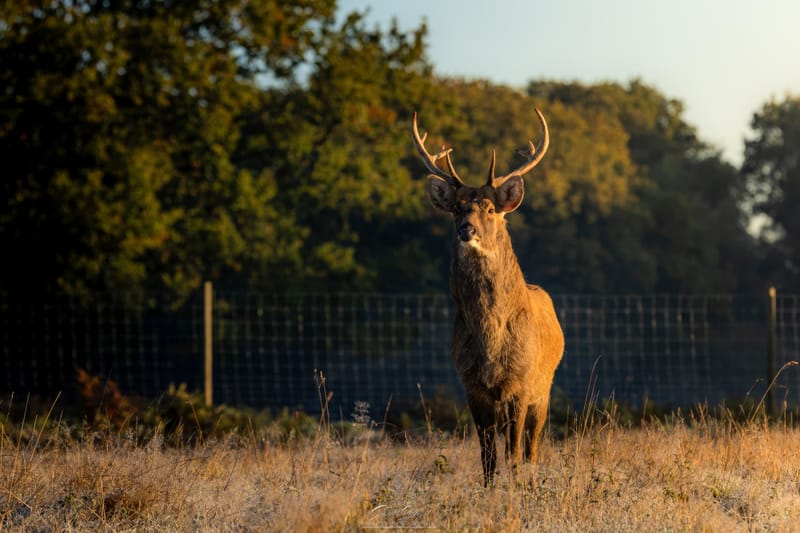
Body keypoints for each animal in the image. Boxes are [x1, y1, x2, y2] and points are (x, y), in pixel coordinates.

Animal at [411, 108, 564, 486]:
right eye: (456, 208)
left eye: (490, 209)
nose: (467, 229)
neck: (490, 343)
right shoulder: (472, 384)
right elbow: (488, 458)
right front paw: (491, 491)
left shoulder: (521, 381)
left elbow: (514, 455)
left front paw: (516, 490)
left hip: (545, 387)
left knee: (532, 448)